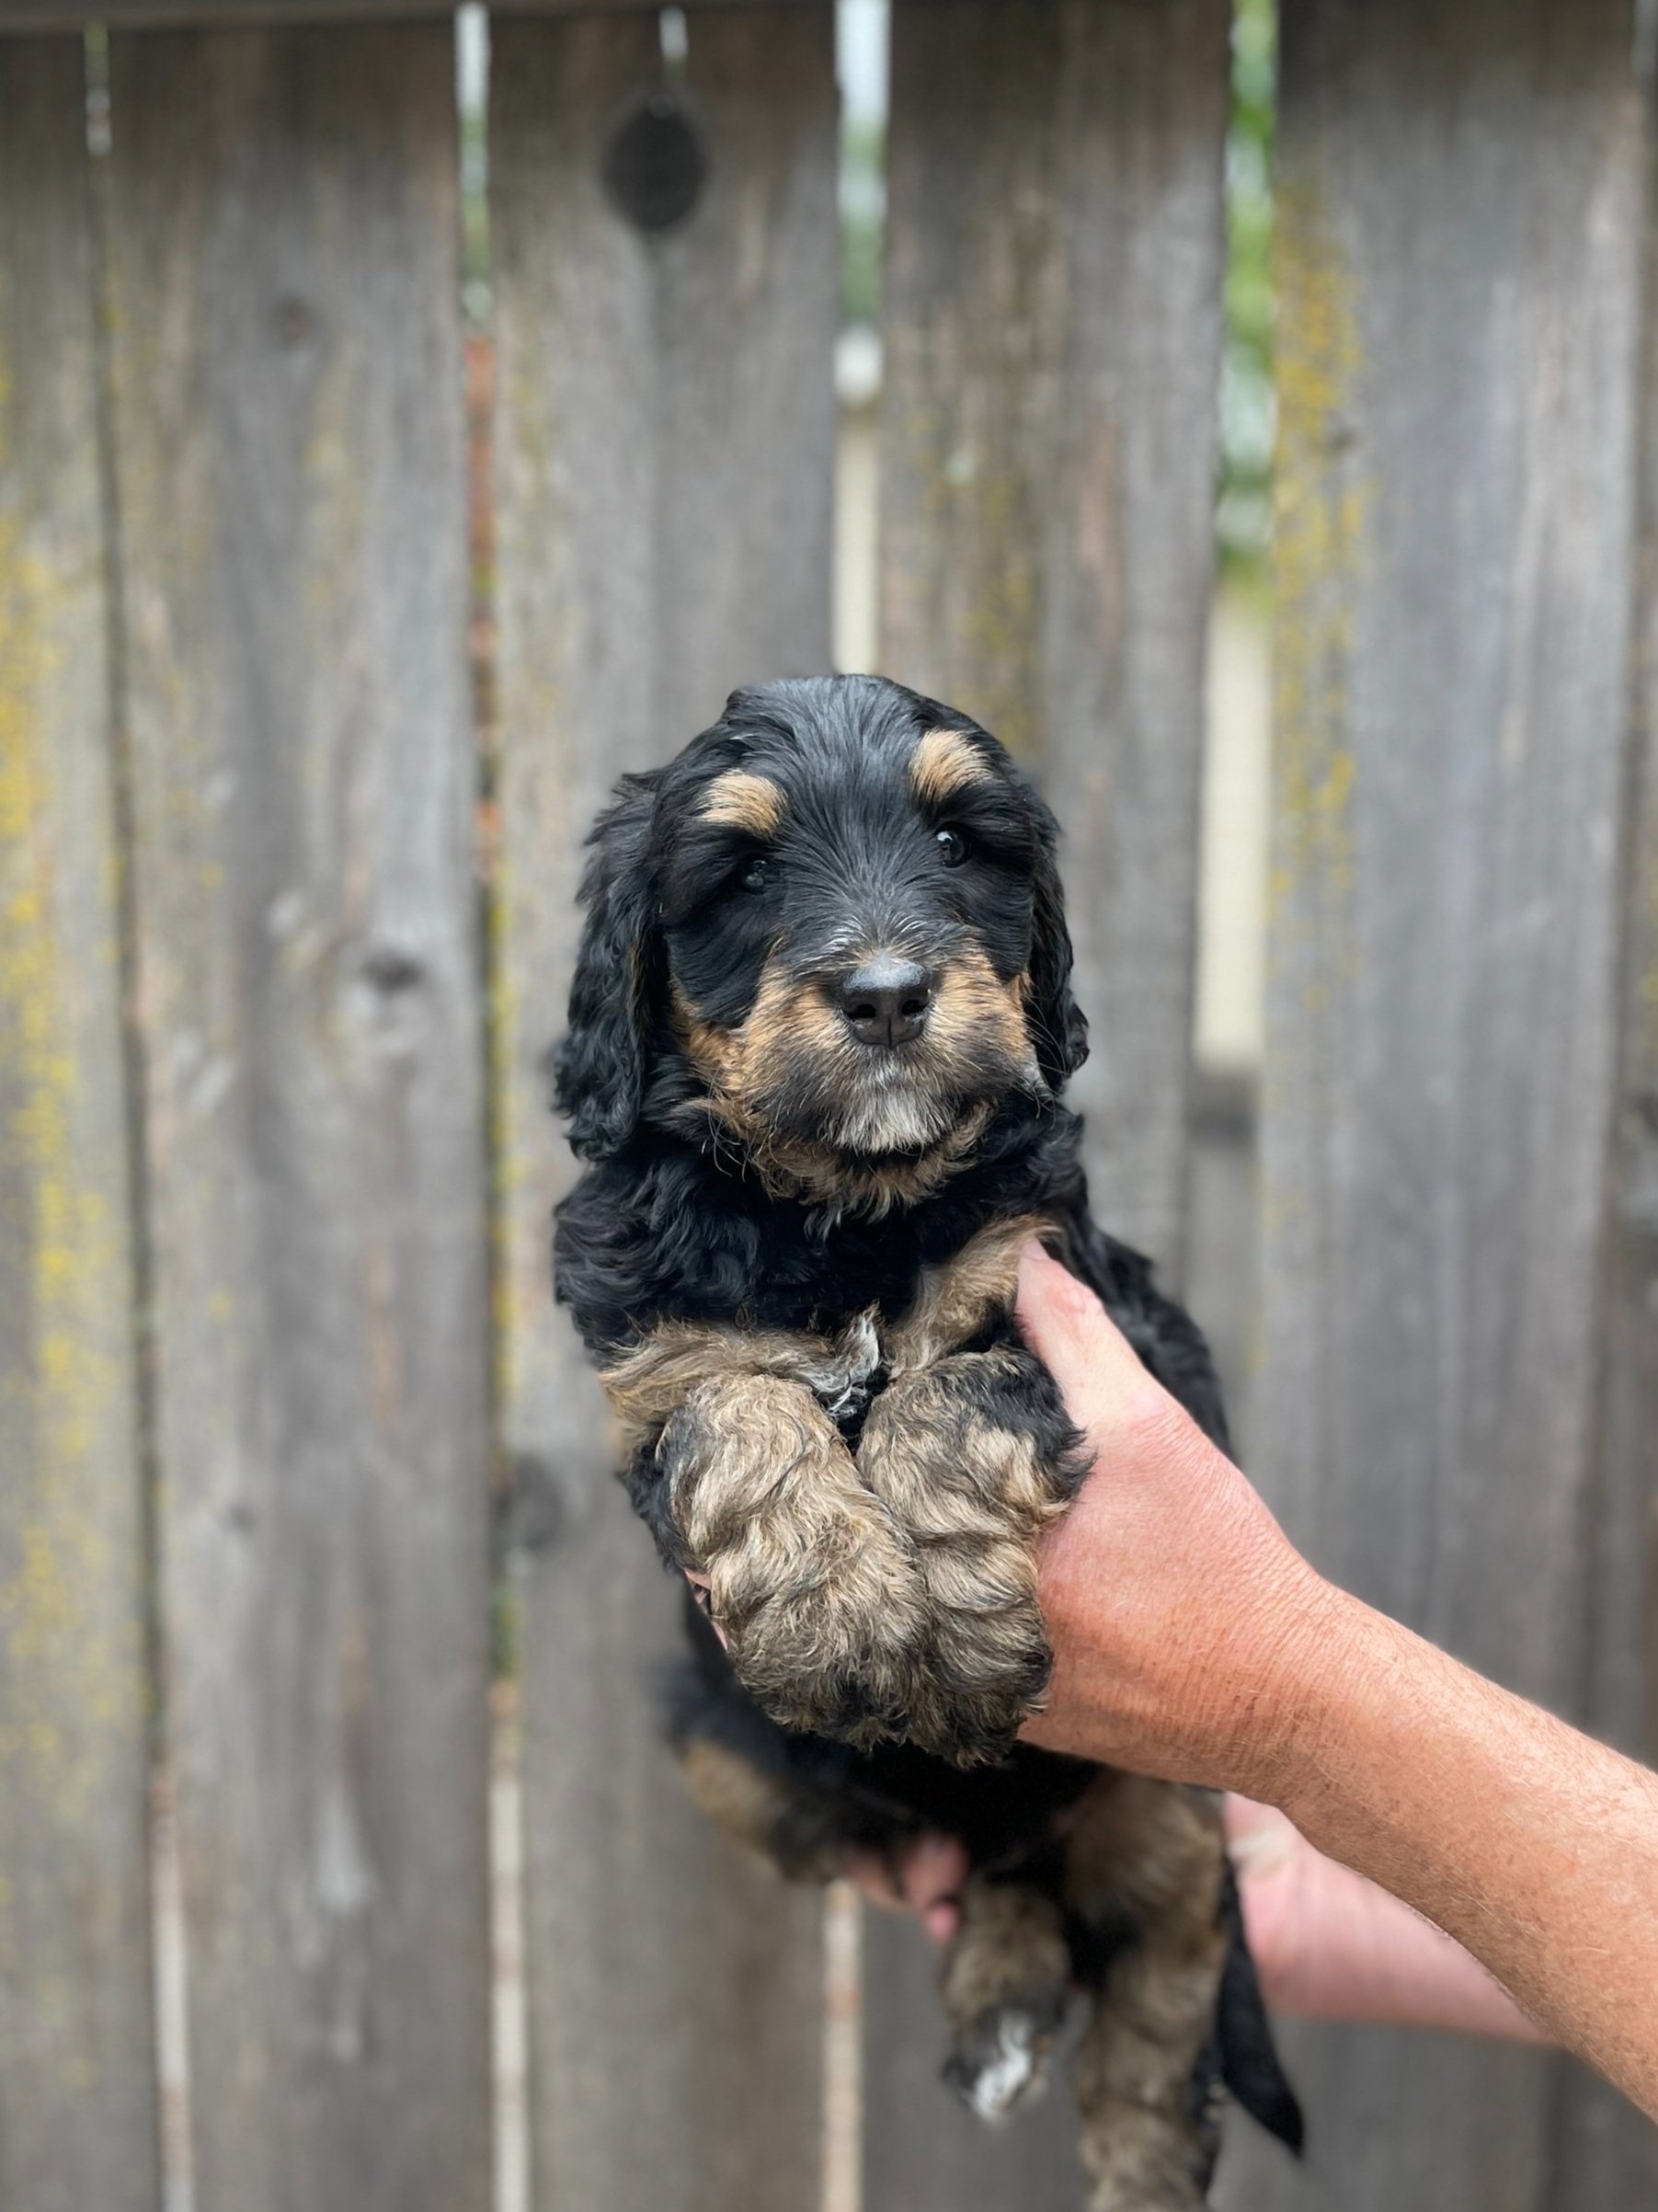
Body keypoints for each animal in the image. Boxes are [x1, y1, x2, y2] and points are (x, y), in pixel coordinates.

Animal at [559, 676, 1309, 2212]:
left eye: (960, 842)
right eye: (739, 875)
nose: (890, 994)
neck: (839, 1210)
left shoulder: (1075, 1303)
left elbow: (942, 1393)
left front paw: (949, 1629)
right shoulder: (657, 1364)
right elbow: (738, 1407)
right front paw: (842, 1616)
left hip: (1169, 1801)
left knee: (1162, 1958)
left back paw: (1138, 2151)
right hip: (724, 1752)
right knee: (1006, 1883)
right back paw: (1002, 2003)